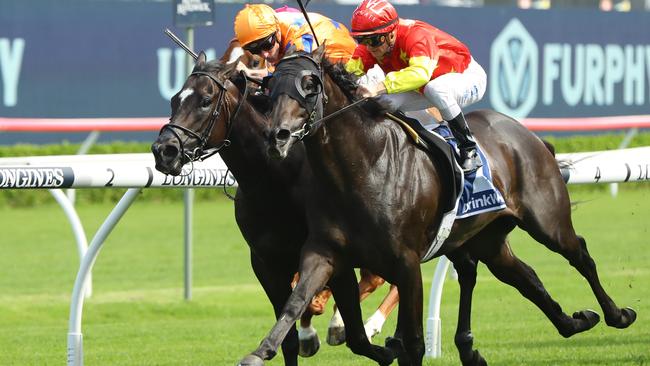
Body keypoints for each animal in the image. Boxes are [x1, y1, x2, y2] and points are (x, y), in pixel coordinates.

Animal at [251, 46, 636, 366]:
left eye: (310, 85)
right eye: (270, 87)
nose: (277, 136)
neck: (361, 167)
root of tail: (529, 135)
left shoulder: (406, 263)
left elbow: (413, 345)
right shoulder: (326, 252)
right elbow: (296, 300)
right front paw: (260, 351)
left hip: (547, 220)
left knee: (580, 254)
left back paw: (617, 314)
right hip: (488, 238)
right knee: (524, 277)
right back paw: (574, 321)